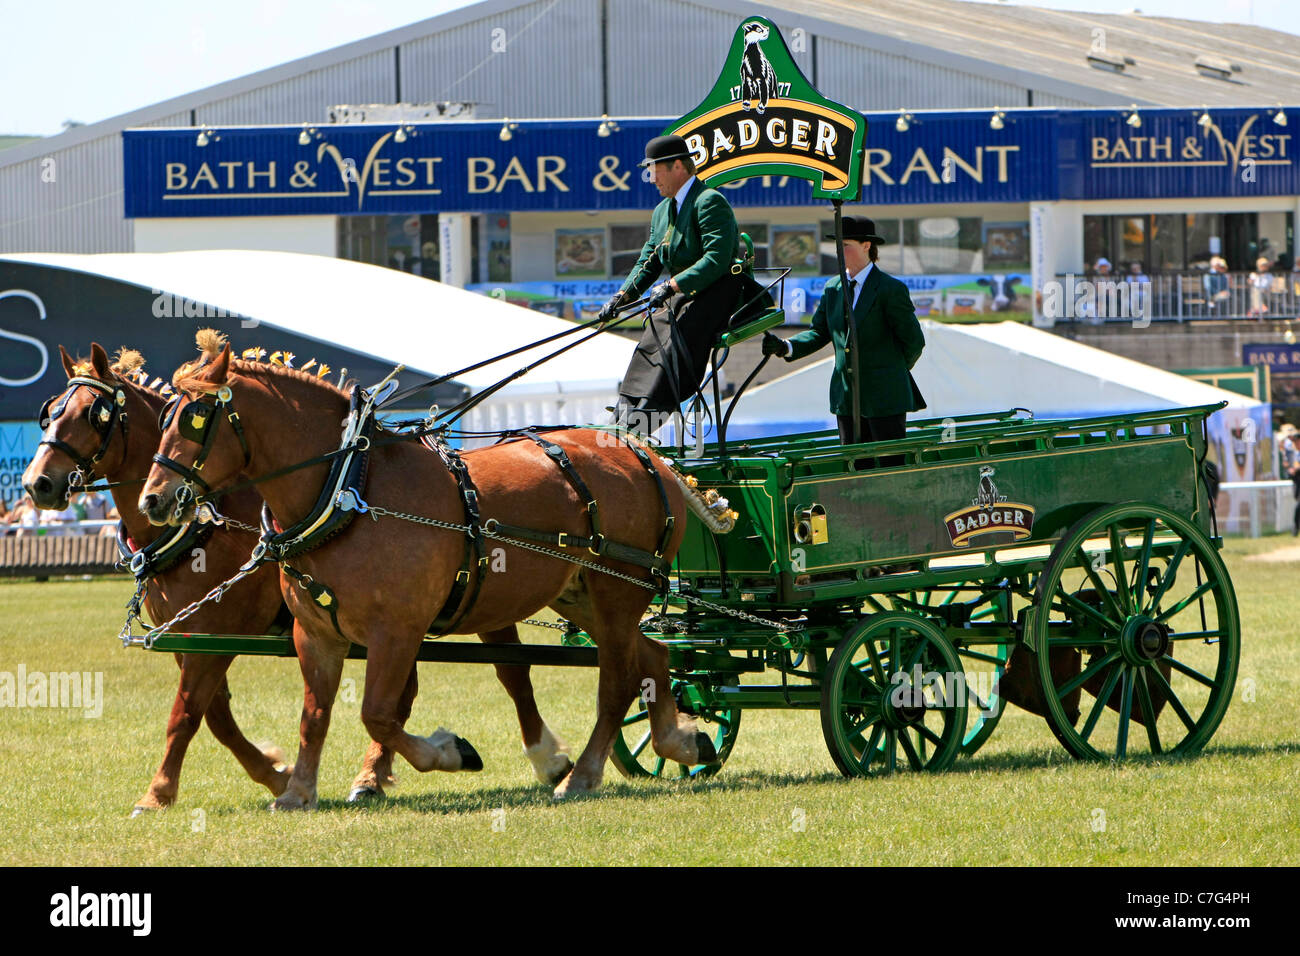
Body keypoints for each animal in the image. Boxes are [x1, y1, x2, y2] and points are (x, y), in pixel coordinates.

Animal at [139, 334, 734, 803]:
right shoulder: (315, 632)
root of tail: (648, 457)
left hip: (616, 592)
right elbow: (315, 714)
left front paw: (449, 752)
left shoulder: (397, 630)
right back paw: (679, 740)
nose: (153, 501)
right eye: (160, 417)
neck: (348, 492)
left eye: (196, 418)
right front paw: (298, 790)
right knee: (653, 657)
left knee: (617, 681)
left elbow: (379, 713)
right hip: (581, 594)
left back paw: (582, 776)